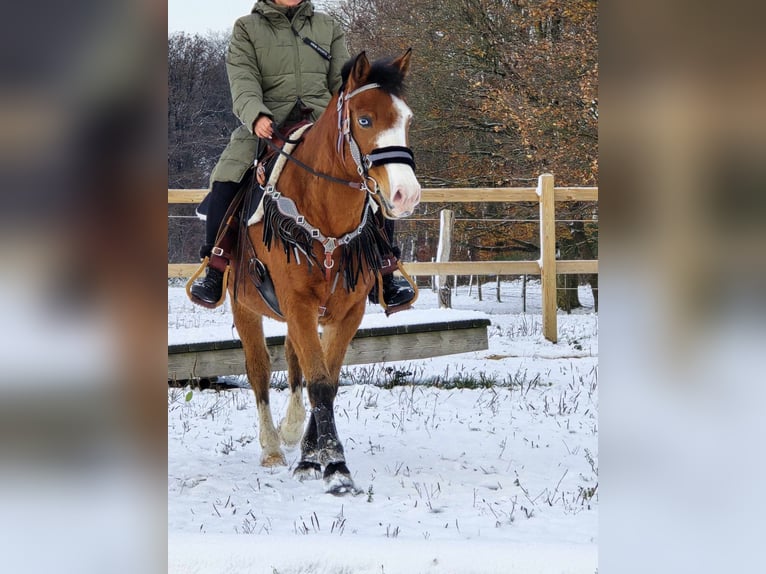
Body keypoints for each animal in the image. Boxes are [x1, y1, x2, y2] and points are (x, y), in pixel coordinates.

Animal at [231, 49, 424, 496]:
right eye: (365, 120)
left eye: (406, 120)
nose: (406, 195)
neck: (325, 219)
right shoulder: (298, 304)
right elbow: (318, 381)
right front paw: (333, 465)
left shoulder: (346, 311)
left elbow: (327, 381)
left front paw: (310, 456)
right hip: (244, 308)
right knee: (259, 371)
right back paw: (271, 446)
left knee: (294, 362)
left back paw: (291, 433)